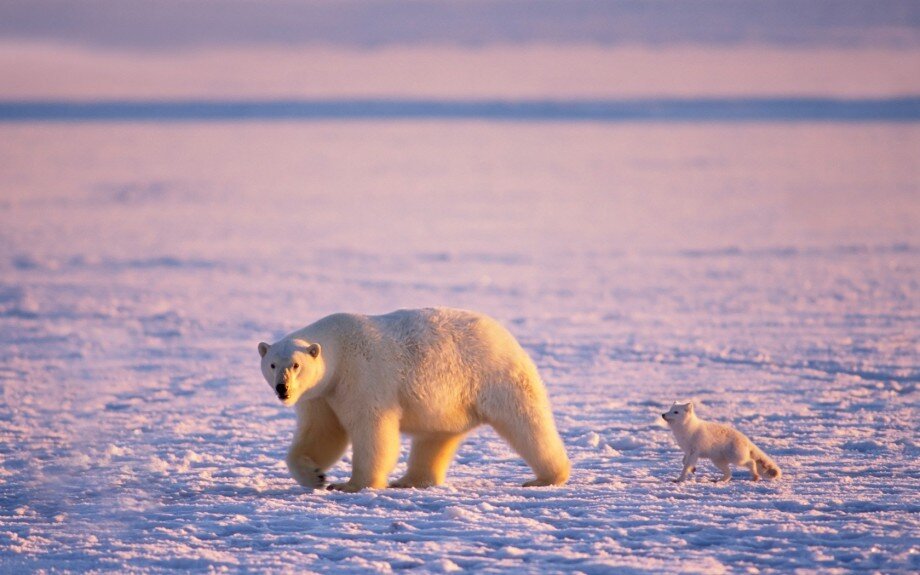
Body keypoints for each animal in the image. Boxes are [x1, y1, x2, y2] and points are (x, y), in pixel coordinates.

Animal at [256, 308, 568, 492]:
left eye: (296, 365)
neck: (338, 348)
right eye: (272, 364)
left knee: (526, 422)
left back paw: (546, 477)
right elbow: (322, 432)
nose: (283, 389)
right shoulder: (321, 394)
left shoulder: (362, 375)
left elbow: (372, 428)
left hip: (494, 375)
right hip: (450, 402)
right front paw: (316, 475)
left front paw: (352, 484)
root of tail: (505, 334)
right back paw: (410, 480)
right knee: (435, 437)